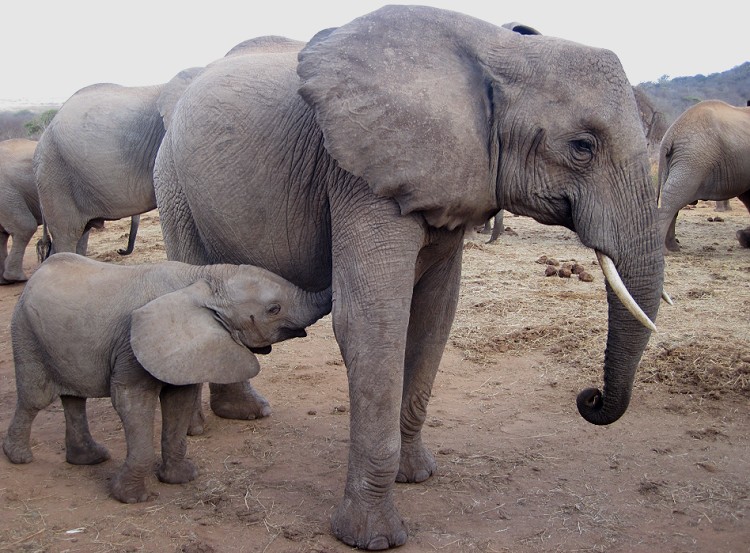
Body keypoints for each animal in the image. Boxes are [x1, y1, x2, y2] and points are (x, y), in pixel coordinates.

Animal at [3, 252, 332, 502]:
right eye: (274, 309)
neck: (202, 279)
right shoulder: (131, 346)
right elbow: (132, 401)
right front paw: (132, 498)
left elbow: (179, 400)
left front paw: (182, 479)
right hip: (25, 332)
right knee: (34, 399)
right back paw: (18, 458)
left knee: (73, 399)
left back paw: (89, 458)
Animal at [153, 7, 664, 548]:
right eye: (583, 147)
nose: (590, 398)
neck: (495, 48)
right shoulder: (360, 173)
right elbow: (371, 323)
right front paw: (371, 538)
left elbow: (435, 317)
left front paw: (417, 476)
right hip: (172, 180)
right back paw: (200, 428)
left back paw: (246, 414)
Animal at [656, 100, 750, 251]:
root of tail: (670, 134)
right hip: (693, 160)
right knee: (674, 198)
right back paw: (665, 251)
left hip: (678, 161)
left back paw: (673, 248)